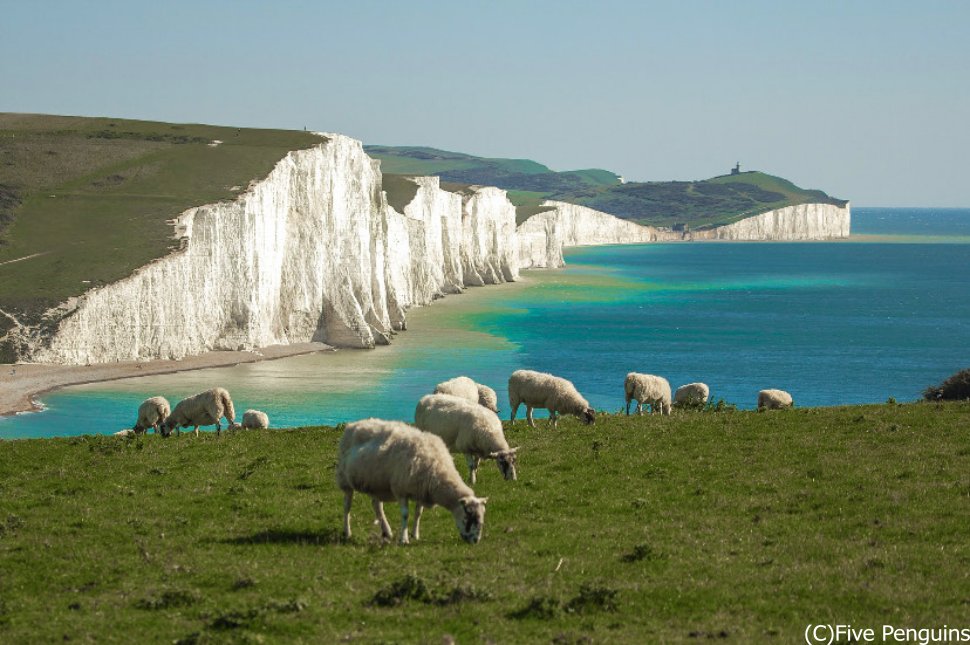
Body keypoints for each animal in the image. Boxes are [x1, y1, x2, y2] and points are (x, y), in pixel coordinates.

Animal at [334, 418, 484, 544]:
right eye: (469, 517)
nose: (475, 541)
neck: (438, 470)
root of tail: (353, 424)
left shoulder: (421, 490)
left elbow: (418, 513)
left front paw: (415, 534)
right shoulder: (401, 490)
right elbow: (405, 515)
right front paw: (404, 539)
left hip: (376, 483)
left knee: (377, 506)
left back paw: (386, 531)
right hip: (344, 479)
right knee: (347, 506)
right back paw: (347, 532)